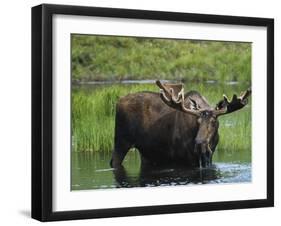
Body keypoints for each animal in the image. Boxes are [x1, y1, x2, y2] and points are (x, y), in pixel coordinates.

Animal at [109, 80, 249, 169]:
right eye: (197, 122)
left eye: (214, 121)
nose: (200, 144)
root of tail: (118, 102)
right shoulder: (178, 157)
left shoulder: (209, 156)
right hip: (121, 140)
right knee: (113, 161)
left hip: (146, 151)